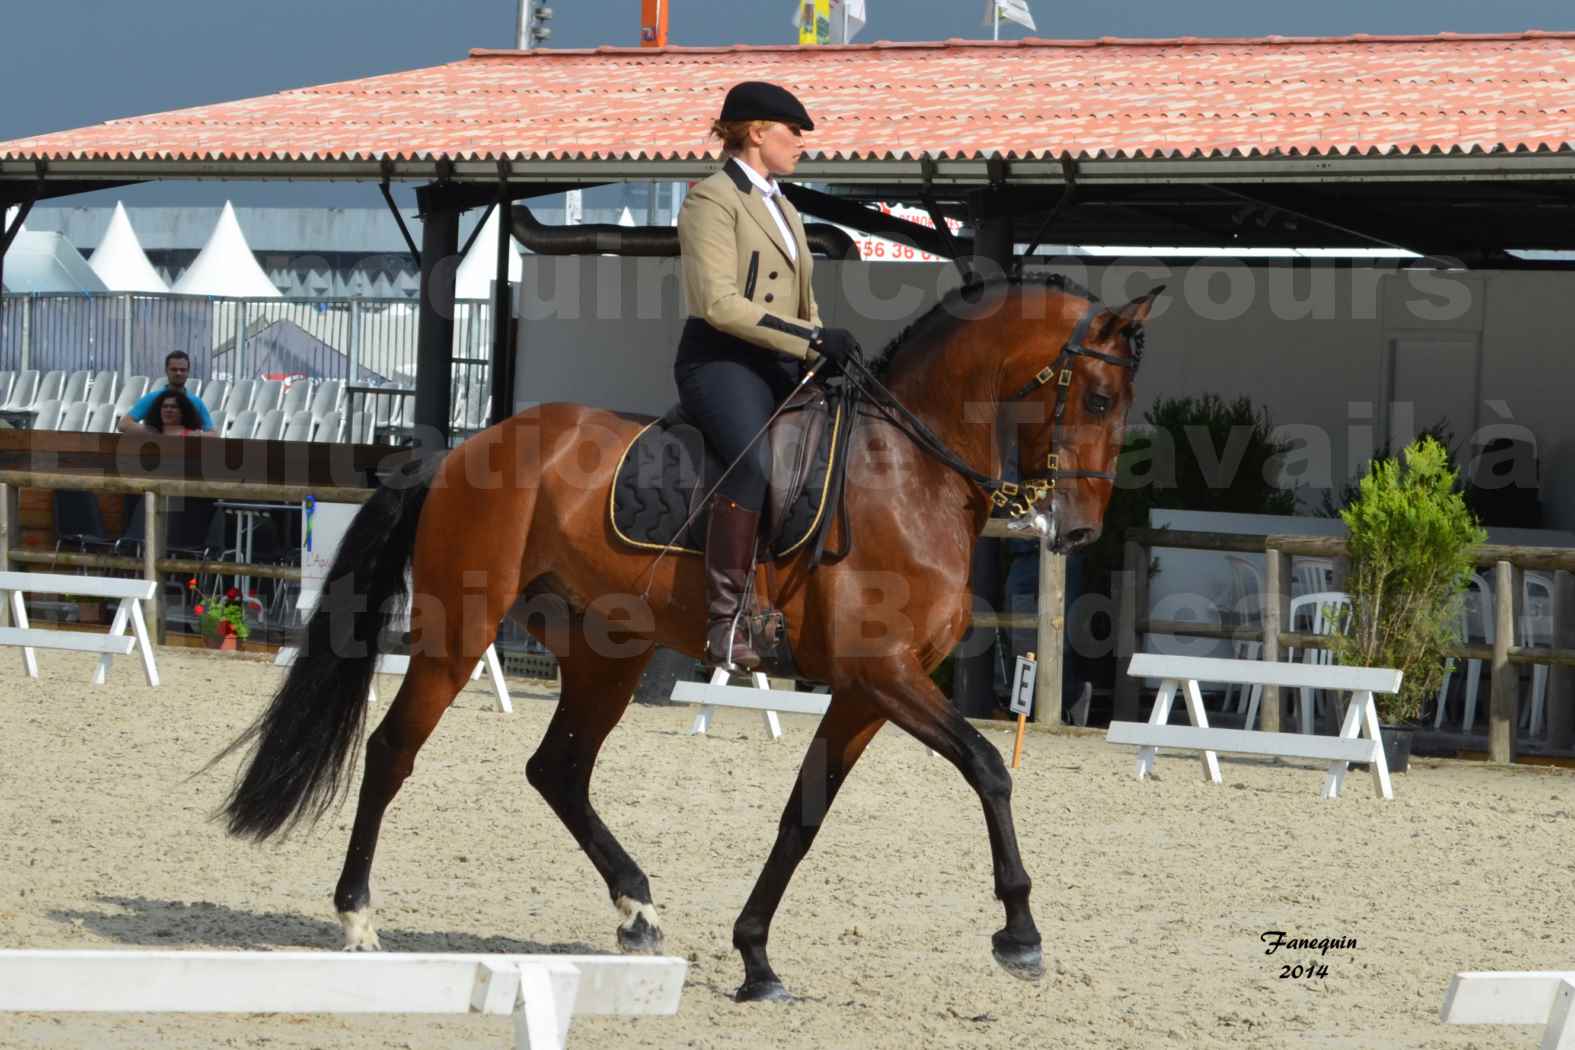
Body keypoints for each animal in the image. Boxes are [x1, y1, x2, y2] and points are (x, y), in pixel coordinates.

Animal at [212, 270, 1159, 1001]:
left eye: (1127, 407)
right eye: (1096, 396)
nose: (1077, 531)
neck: (908, 472)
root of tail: (467, 447)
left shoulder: (866, 690)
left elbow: (802, 816)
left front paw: (755, 960)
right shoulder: (884, 672)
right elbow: (990, 766)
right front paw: (1020, 935)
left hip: (606, 655)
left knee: (557, 770)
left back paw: (637, 909)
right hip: (457, 636)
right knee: (392, 751)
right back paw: (358, 917)